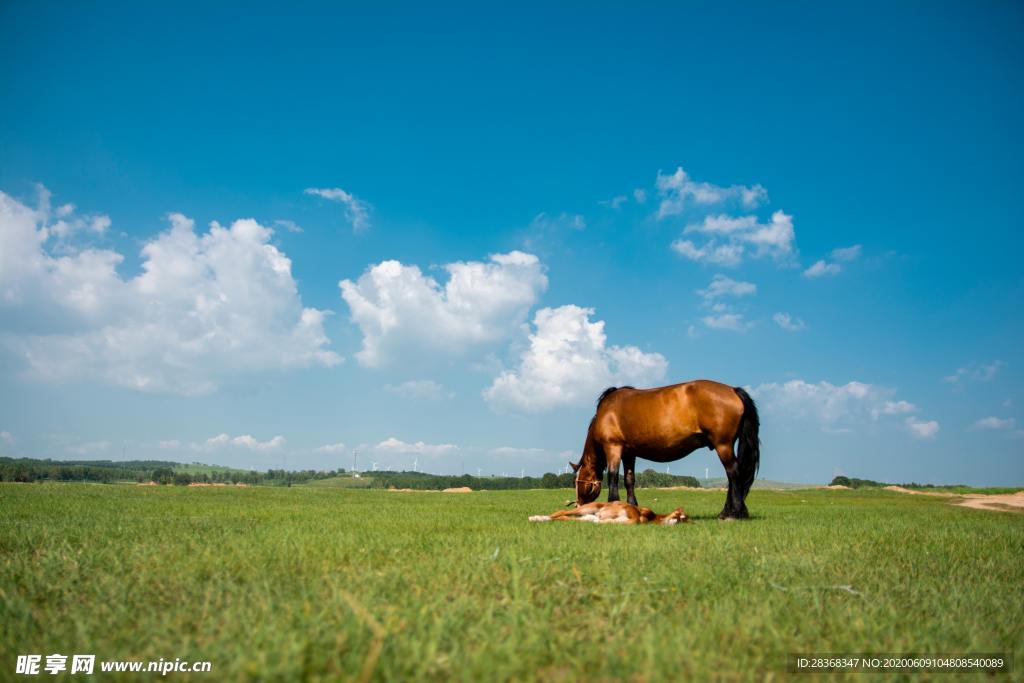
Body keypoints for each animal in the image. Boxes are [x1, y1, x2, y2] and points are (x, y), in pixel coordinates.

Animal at [569, 380, 760, 520]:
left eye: (577, 482)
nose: (579, 505)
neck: (607, 411)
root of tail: (733, 390)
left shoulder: (613, 447)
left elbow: (613, 477)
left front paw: (613, 504)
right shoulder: (629, 453)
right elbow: (629, 480)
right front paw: (633, 506)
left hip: (723, 445)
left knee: (733, 474)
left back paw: (733, 513)